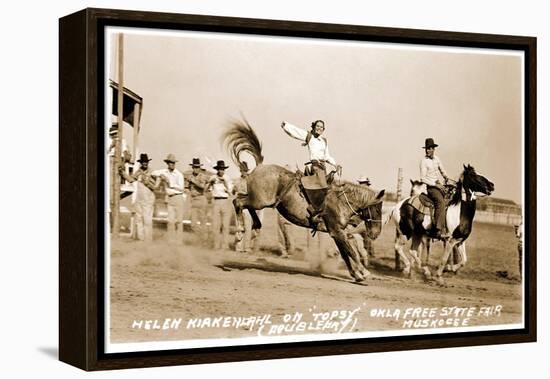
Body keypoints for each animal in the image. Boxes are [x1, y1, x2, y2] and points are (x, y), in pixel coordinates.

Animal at [222, 120, 386, 284]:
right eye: (377, 209)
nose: (376, 234)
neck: (341, 201)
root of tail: (260, 166)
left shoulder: (337, 233)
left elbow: (346, 254)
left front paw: (356, 274)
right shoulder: (338, 232)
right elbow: (351, 252)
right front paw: (365, 273)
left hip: (258, 200)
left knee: (243, 203)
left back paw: (255, 224)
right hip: (259, 201)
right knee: (238, 202)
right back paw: (240, 231)